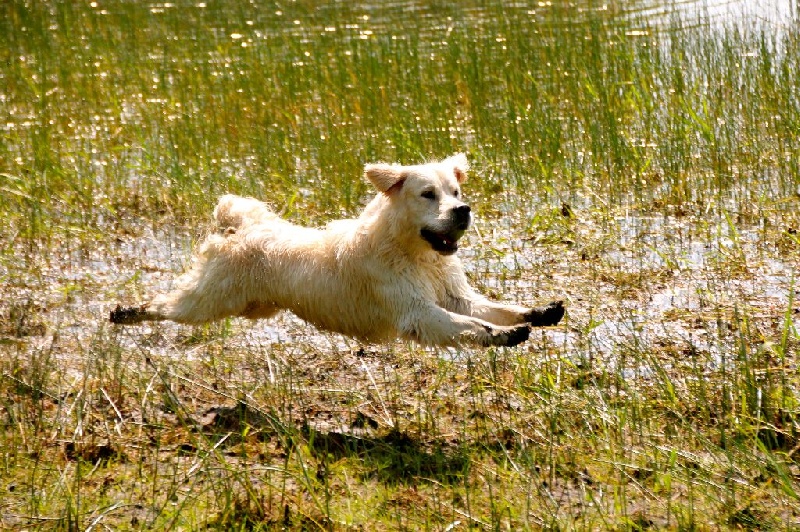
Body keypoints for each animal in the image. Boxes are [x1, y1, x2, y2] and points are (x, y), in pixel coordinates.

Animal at [110, 154, 564, 347]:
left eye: (455, 191)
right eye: (428, 194)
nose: (464, 211)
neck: (412, 252)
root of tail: (246, 224)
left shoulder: (453, 294)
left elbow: (492, 307)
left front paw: (538, 312)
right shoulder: (414, 310)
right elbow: (471, 326)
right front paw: (504, 335)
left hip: (253, 306)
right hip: (209, 300)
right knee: (167, 304)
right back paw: (126, 312)